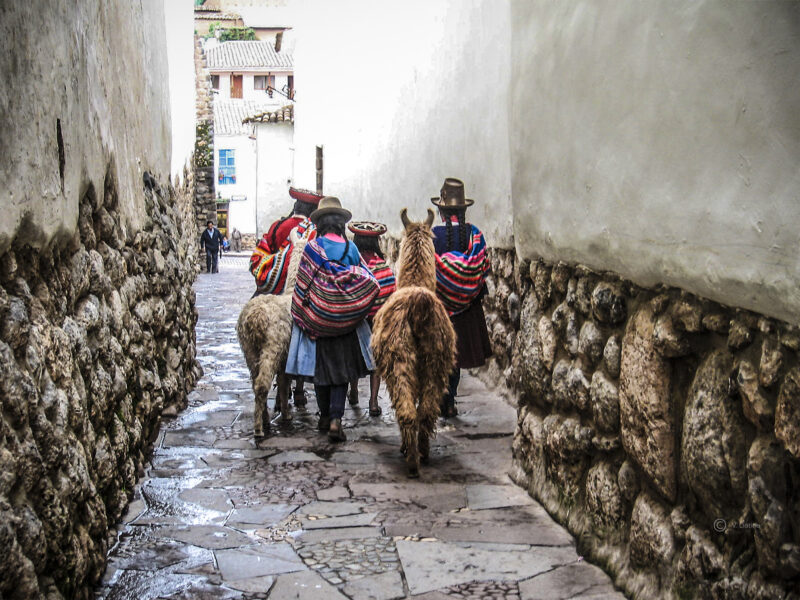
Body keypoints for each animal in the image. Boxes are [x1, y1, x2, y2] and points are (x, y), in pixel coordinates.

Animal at [237, 228, 310, 437]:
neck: (292, 291)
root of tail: (255, 318)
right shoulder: (285, 354)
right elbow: (284, 384)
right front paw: (286, 413)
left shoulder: (285, 358)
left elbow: (283, 383)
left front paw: (283, 409)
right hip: (273, 344)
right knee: (262, 384)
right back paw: (259, 428)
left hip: (248, 348)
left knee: (255, 382)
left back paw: (265, 419)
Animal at [371, 209, 456, 477]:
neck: (414, 282)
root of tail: (419, 304)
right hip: (436, 359)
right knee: (426, 412)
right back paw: (424, 453)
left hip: (399, 359)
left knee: (407, 411)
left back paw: (410, 459)